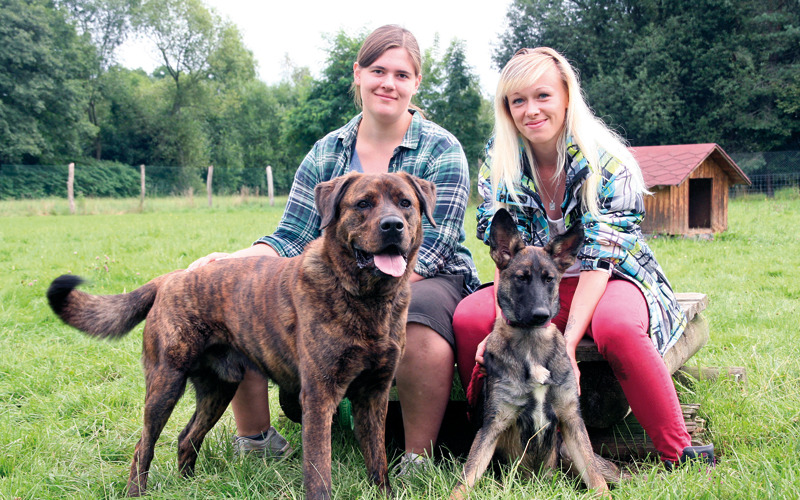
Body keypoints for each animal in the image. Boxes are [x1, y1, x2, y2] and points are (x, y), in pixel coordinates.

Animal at [48, 173, 438, 500]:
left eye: (405, 203)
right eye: (363, 203)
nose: (393, 225)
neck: (366, 299)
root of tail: (171, 277)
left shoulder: (374, 395)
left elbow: (378, 460)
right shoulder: (319, 396)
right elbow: (319, 471)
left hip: (218, 389)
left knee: (186, 438)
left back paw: (188, 486)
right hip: (164, 385)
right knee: (143, 447)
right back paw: (137, 492)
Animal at [450, 209, 620, 498]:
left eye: (549, 279)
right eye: (522, 277)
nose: (541, 315)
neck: (531, 343)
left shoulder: (571, 420)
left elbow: (596, 479)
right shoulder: (493, 424)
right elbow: (467, 476)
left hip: (570, 452)